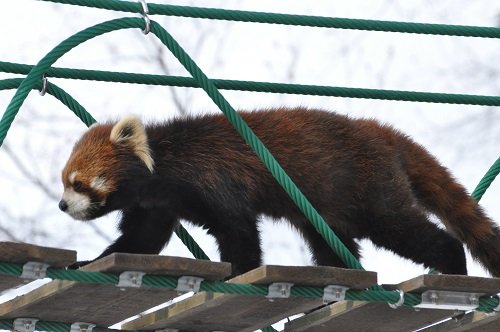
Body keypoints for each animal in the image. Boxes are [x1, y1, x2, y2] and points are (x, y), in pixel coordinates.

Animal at [59, 107, 500, 276]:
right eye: (63, 180)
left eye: (78, 182)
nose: (63, 205)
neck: (166, 165)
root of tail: (381, 131)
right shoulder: (156, 204)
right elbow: (141, 240)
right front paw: (88, 262)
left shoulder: (215, 180)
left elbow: (239, 231)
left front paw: (241, 272)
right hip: (328, 212)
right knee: (331, 243)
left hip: (371, 188)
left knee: (404, 228)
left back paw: (453, 268)